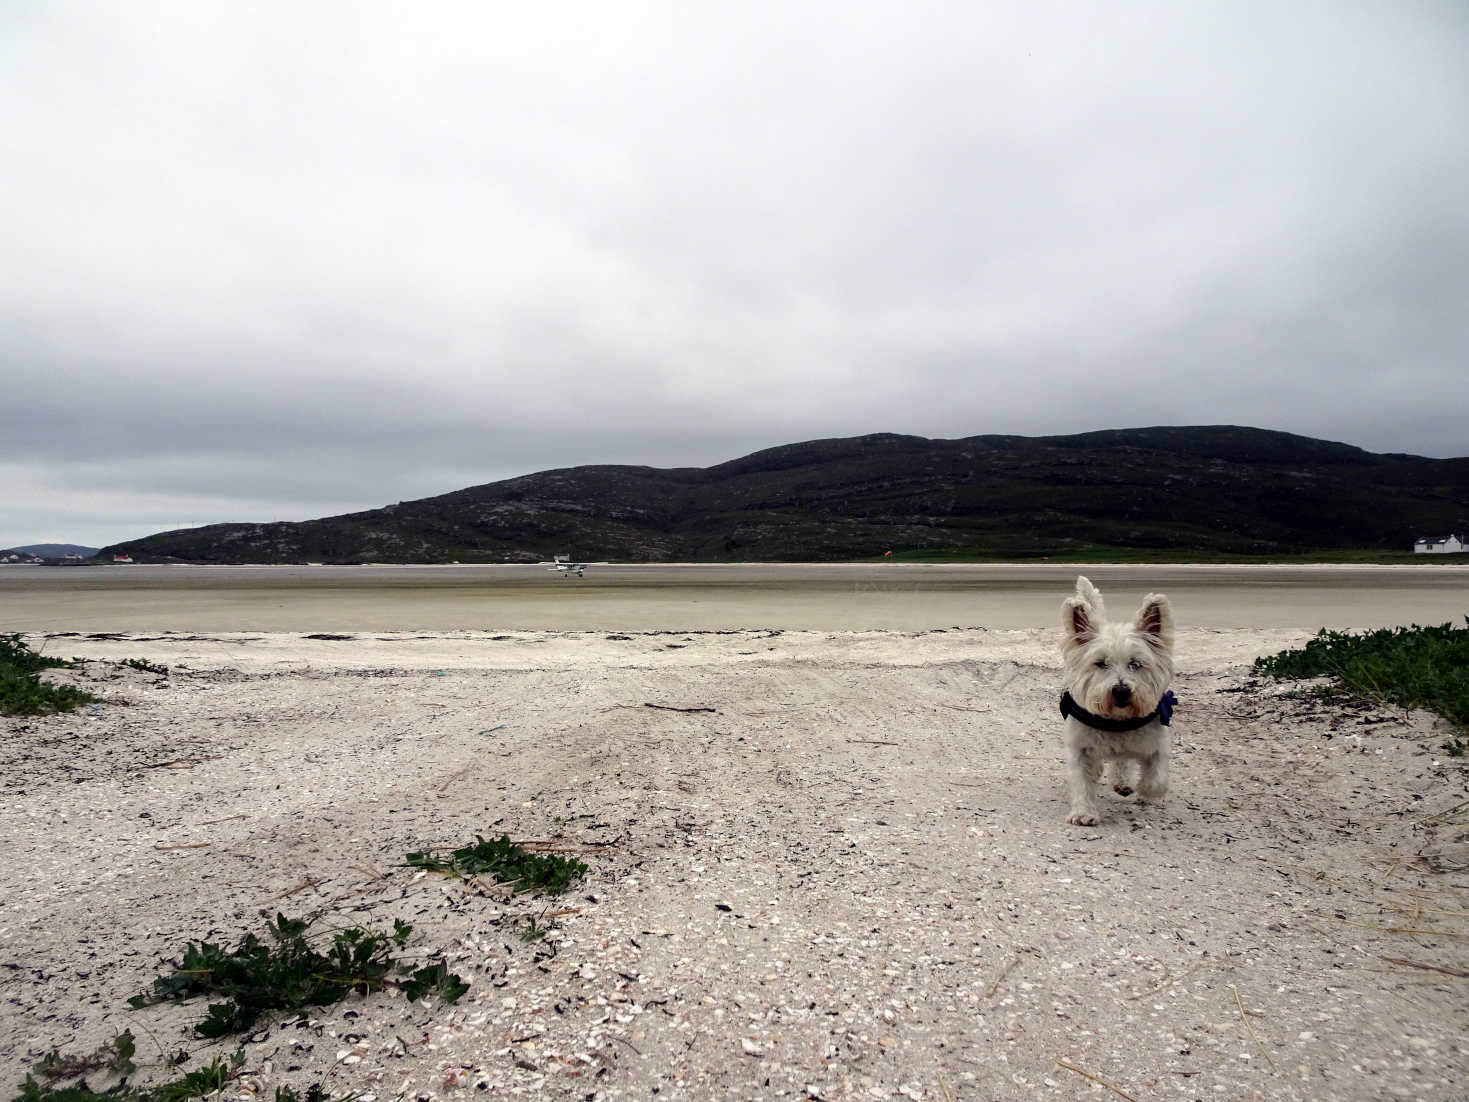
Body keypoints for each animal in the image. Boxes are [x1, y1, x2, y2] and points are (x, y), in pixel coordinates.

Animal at [1063, 578, 1175, 828]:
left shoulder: (1158, 742)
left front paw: (1146, 792)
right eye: (1100, 663)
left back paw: (1125, 783)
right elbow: (1082, 781)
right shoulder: (1080, 747)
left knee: (1123, 762)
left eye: (1135, 663)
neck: (1117, 721)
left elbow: (1156, 778)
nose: (1121, 691)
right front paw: (1084, 813)